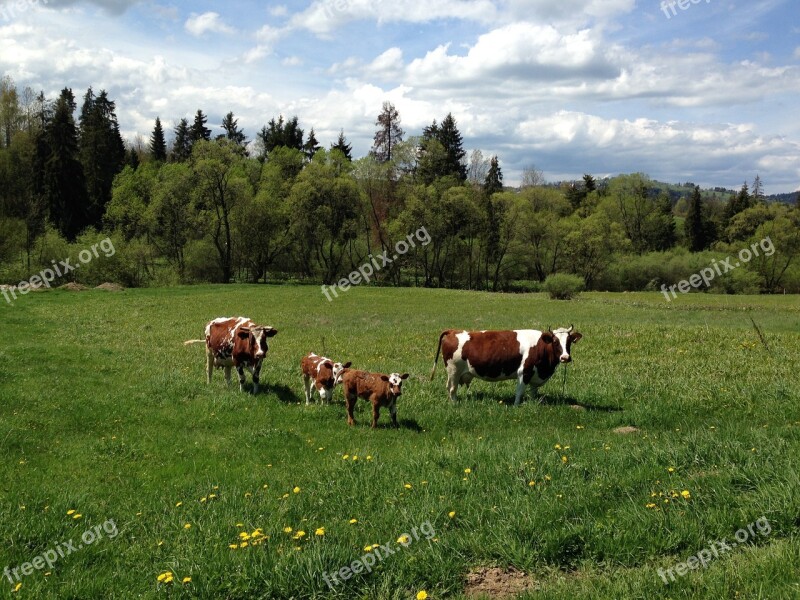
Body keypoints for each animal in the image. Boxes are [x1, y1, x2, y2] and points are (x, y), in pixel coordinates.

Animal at [432, 326, 580, 406]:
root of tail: (453, 331)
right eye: (555, 341)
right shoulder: (524, 372)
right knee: (452, 389)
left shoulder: (535, 374)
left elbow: (533, 392)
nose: (565, 357)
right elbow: (519, 392)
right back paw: (455, 404)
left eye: (569, 341)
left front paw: (533, 403)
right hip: (454, 371)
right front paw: (516, 406)